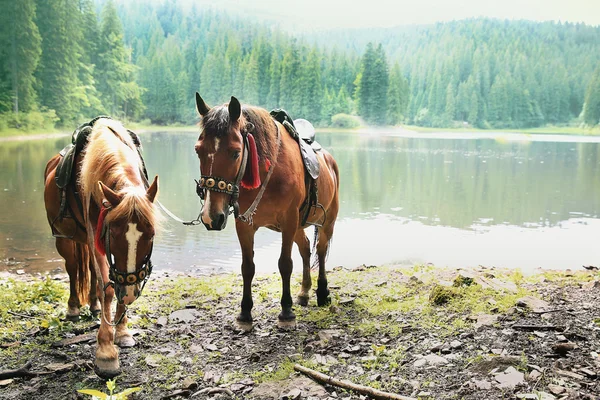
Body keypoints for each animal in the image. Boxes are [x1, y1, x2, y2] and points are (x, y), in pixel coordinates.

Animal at [43, 118, 159, 378]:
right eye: (113, 233)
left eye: (151, 234)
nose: (132, 292)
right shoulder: (97, 235)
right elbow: (108, 287)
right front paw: (106, 353)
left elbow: (112, 284)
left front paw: (123, 332)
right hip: (65, 239)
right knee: (73, 268)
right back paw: (74, 308)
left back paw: (95, 306)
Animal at [195, 94, 340, 332]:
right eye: (198, 150)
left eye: (236, 152)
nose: (211, 216)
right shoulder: (245, 224)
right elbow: (247, 267)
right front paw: (245, 313)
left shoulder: (289, 221)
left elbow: (285, 264)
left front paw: (286, 312)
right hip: (300, 225)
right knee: (305, 248)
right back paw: (304, 291)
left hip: (328, 221)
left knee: (320, 249)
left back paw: (322, 292)